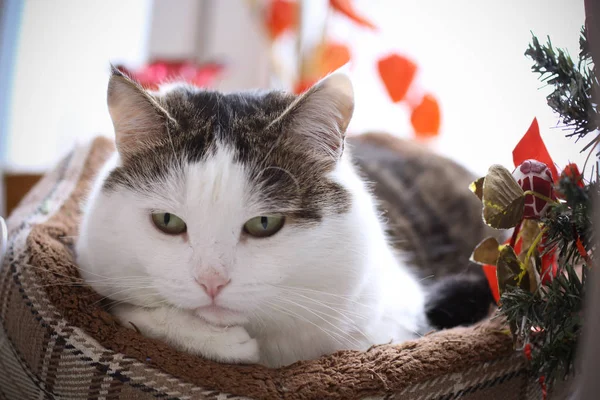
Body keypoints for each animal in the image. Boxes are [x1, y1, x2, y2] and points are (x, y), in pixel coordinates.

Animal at [76, 66, 492, 368]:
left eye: (264, 224)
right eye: (168, 221)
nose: (212, 282)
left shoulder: (391, 322)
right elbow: (124, 307)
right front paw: (219, 341)